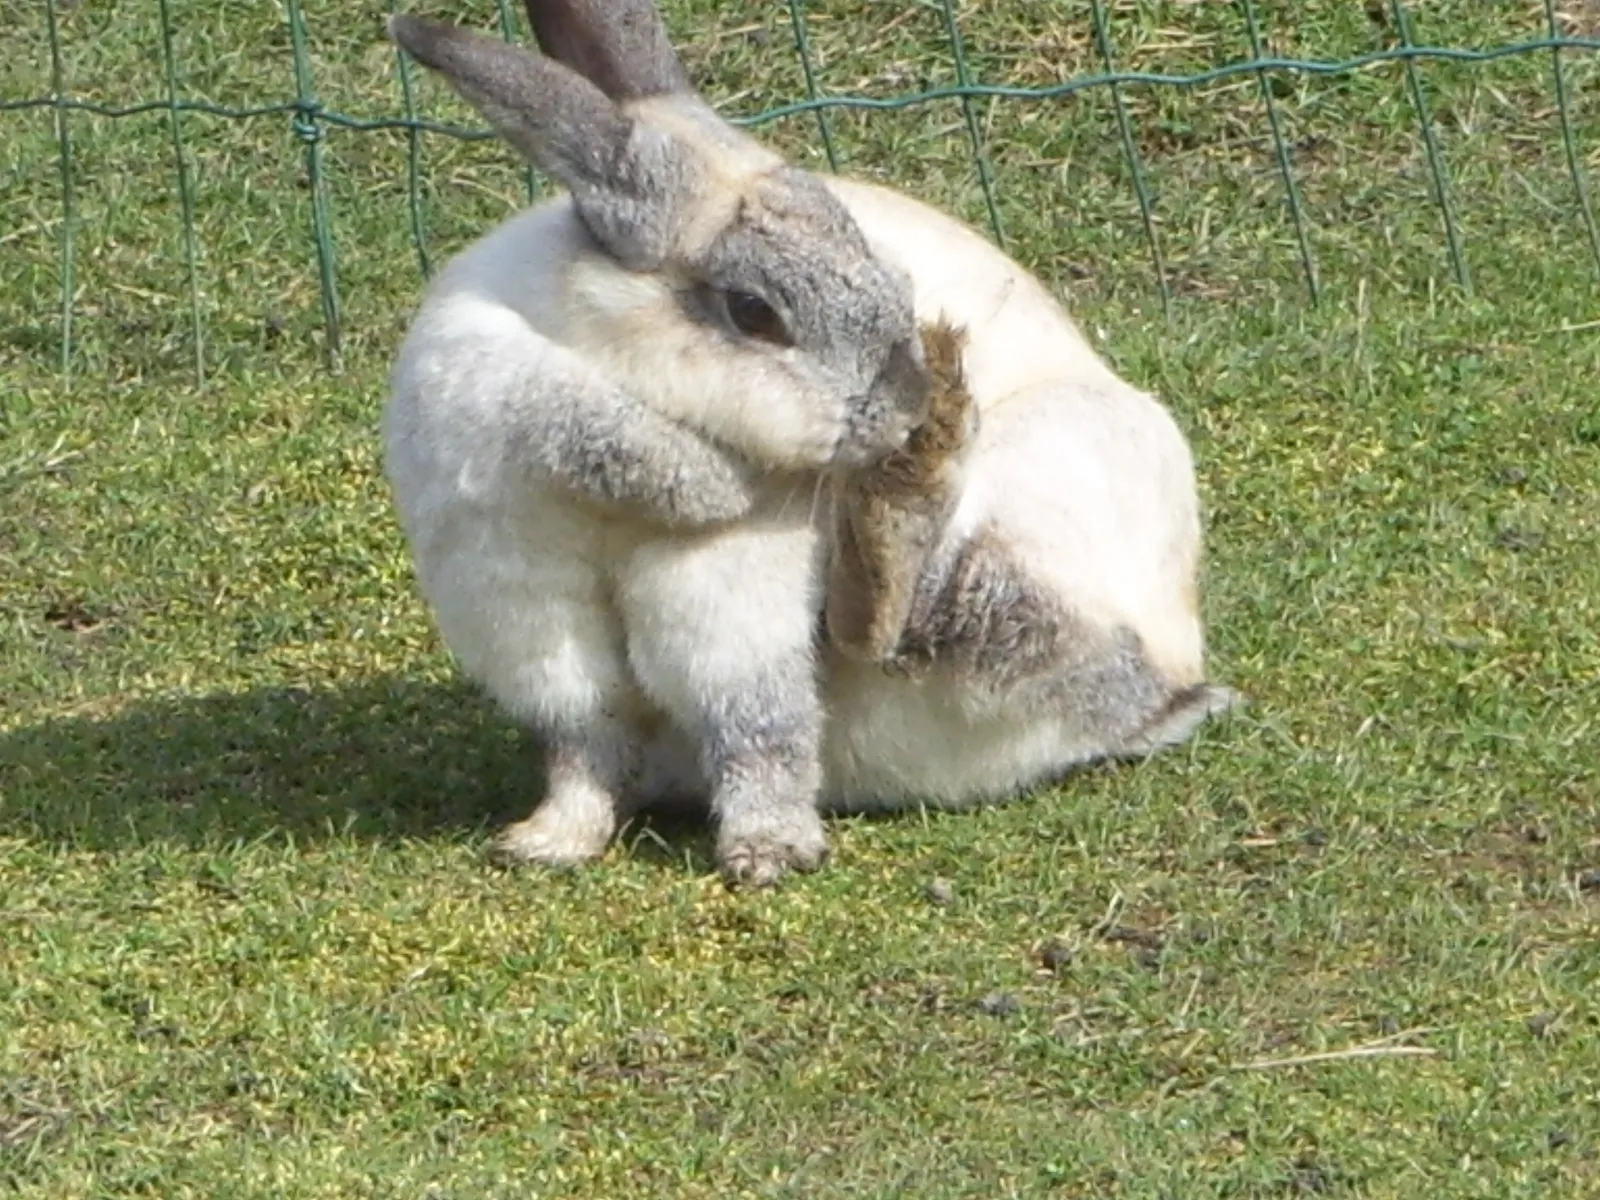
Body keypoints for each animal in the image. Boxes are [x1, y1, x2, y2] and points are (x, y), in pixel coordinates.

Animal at [384, 1, 934, 887]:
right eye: (753, 311)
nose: (908, 411)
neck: (611, 334)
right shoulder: (500, 380)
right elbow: (600, 429)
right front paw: (716, 486)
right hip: (539, 640)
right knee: (590, 740)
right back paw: (551, 840)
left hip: (721, 617)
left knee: (759, 736)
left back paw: (767, 851)